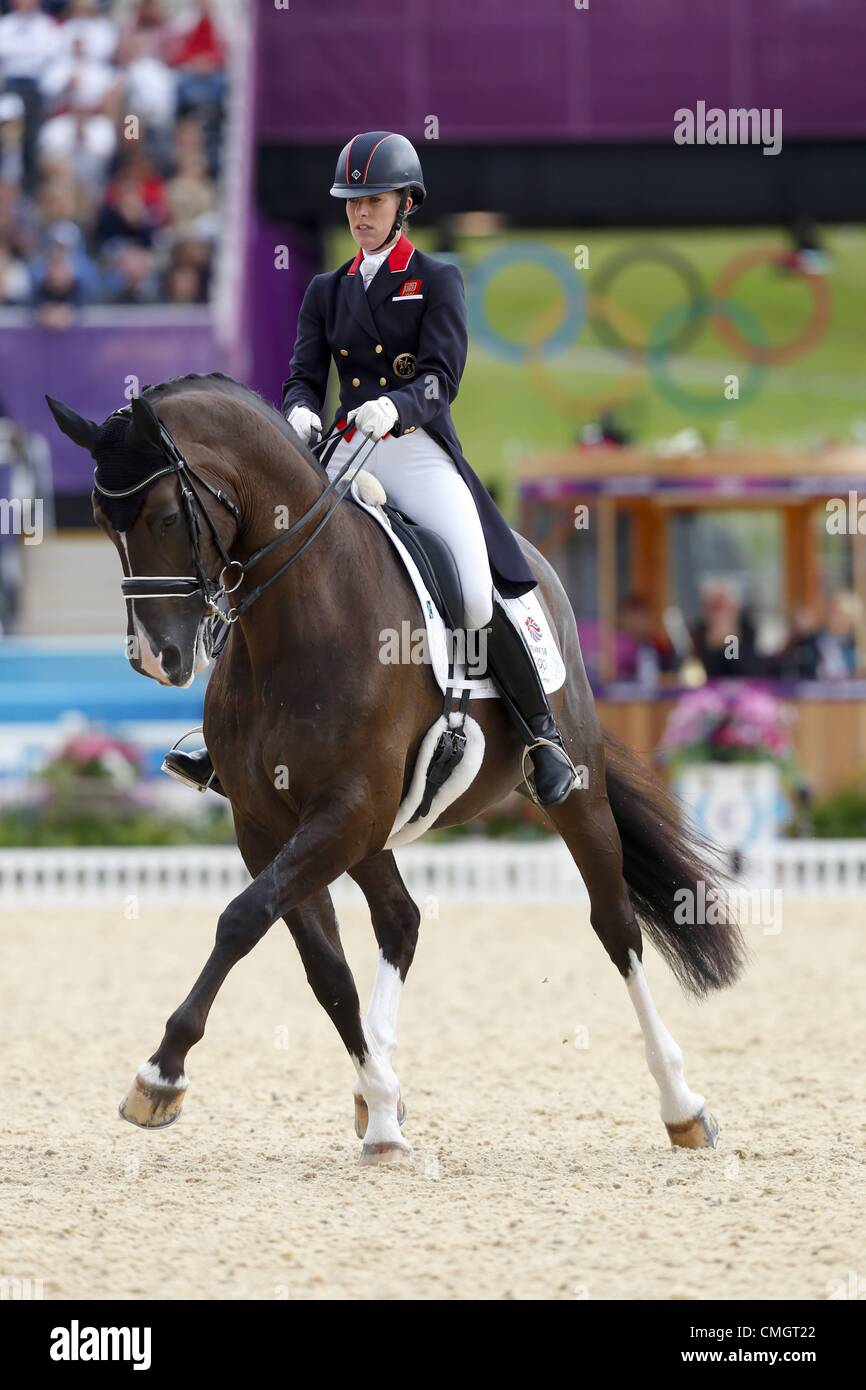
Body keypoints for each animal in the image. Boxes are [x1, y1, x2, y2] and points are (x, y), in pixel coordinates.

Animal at [47, 375, 745, 1167]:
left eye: (166, 515)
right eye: (101, 520)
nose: (156, 659)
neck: (301, 616)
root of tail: (540, 569)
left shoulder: (345, 810)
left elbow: (241, 920)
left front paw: (161, 1075)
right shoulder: (271, 824)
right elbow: (325, 968)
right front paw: (381, 1108)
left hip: (572, 796)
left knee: (616, 926)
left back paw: (683, 1105)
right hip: (375, 831)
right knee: (402, 920)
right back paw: (377, 1084)